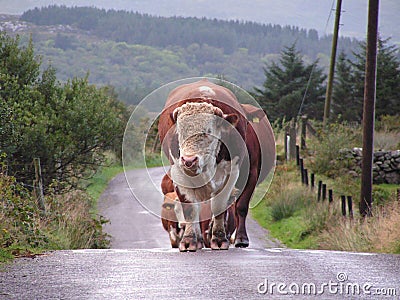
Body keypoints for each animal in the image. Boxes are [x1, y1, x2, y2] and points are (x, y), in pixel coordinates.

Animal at [159, 79, 276, 251]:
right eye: (179, 132)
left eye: (208, 132)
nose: (189, 160)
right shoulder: (179, 173)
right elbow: (190, 208)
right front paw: (189, 240)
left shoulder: (241, 174)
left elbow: (231, 206)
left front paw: (222, 238)